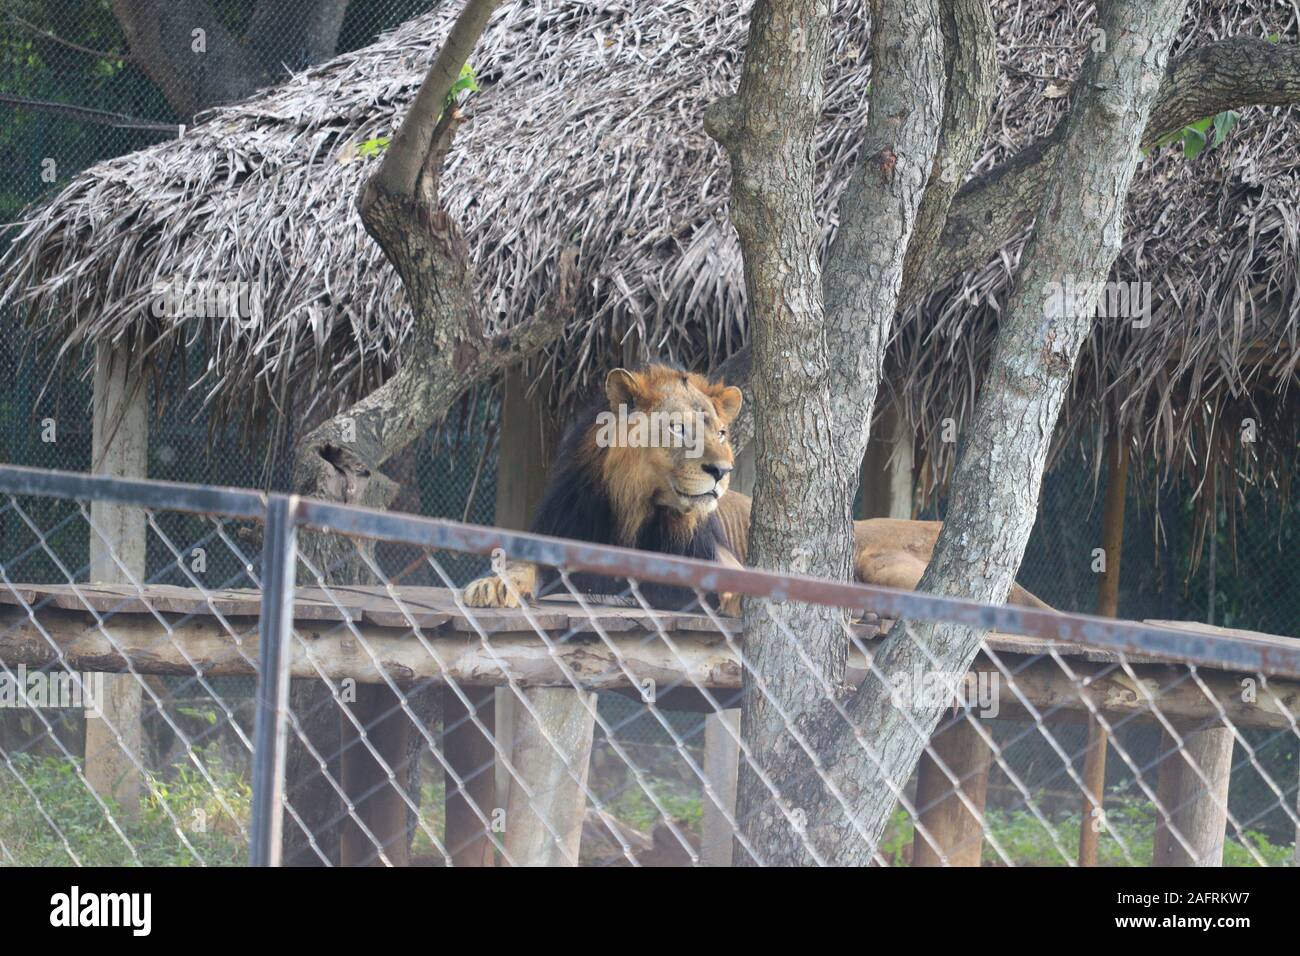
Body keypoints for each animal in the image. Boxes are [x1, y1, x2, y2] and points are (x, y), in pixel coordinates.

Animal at [462, 358, 1050, 613]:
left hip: (876, 560)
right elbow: (522, 567)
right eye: (680, 429)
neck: (635, 509)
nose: (721, 471)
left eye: (722, 433)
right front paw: (491, 586)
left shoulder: (723, 564)